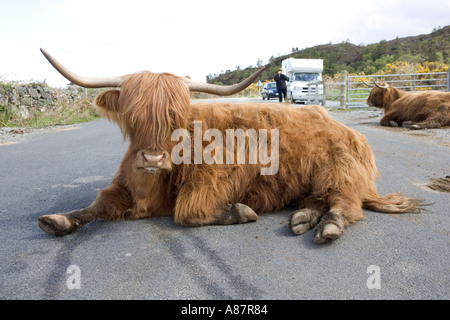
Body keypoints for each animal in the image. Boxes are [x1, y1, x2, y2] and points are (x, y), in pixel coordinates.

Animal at [37, 49, 422, 242]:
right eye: (132, 116)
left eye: (175, 117)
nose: (152, 157)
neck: (151, 186)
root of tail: (343, 127)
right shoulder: (123, 185)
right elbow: (98, 204)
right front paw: (58, 220)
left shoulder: (218, 177)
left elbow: (186, 212)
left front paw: (239, 212)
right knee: (318, 199)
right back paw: (302, 218)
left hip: (338, 170)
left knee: (345, 203)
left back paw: (328, 225)